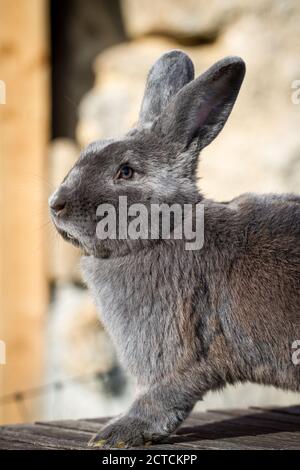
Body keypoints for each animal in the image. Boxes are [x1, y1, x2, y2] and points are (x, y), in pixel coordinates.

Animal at [49, 50, 300, 448]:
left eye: (126, 172)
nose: (55, 205)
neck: (164, 231)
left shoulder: (171, 359)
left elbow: (159, 401)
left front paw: (114, 435)